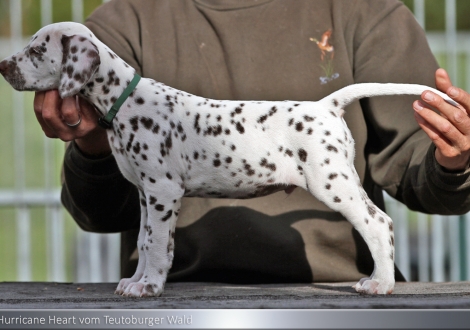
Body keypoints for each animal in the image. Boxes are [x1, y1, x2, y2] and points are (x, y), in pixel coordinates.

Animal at [0, 21, 458, 298]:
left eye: (37, 51)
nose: (4, 66)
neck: (125, 100)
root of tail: (326, 105)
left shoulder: (163, 190)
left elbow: (155, 244)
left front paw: (149, 286)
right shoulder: (148, 196)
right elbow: (148, 241)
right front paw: (137, 281)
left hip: (332, 182)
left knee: (377, 223)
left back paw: (379, 283)